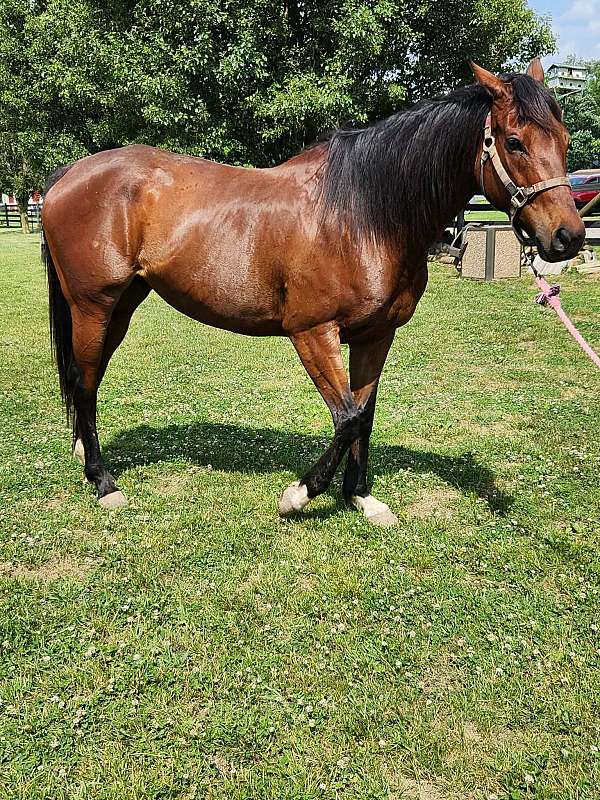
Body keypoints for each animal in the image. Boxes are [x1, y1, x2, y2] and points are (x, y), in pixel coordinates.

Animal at [41, 60, 585, 525]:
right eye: (514, 141)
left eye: (563, 138)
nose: (568, 237)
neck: (363, 215)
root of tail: (68, 175)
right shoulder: (313, 333)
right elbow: (346, 417)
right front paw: (298, 495)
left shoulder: (375, 336)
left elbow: (364, 415)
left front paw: (360, 497)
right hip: (93, 306)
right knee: (84, 381)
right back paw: (103, 482)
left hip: (122, 304)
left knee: (87, 378)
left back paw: (84, 453)